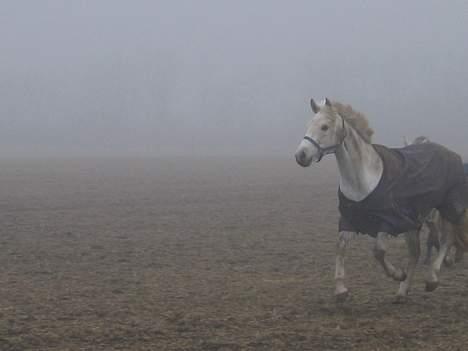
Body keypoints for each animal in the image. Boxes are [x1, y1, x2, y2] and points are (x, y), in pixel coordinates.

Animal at [296, 98, 468, 302]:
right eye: (309, 124)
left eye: (324, 126)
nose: (301, 156)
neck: (364, 178)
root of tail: (451, 153)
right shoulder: (349, 219)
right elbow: (340, 246)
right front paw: (340, 290)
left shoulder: (388, 221)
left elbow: (378, 251)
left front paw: (397, 274)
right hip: (414, 221)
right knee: (415, 253)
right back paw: (402, 291)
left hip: (446, 208)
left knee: (446, 239)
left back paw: (432, 278)